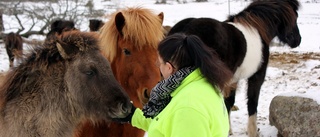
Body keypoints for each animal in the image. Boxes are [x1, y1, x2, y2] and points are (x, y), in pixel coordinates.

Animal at [169, 0, 302, 136]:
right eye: (295, 17)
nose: (297, 40)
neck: (257, 28)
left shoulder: (233, 79)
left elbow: (229, 101)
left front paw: (229, 129)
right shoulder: (257, 76)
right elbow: (252, 102)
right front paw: (252, 131)